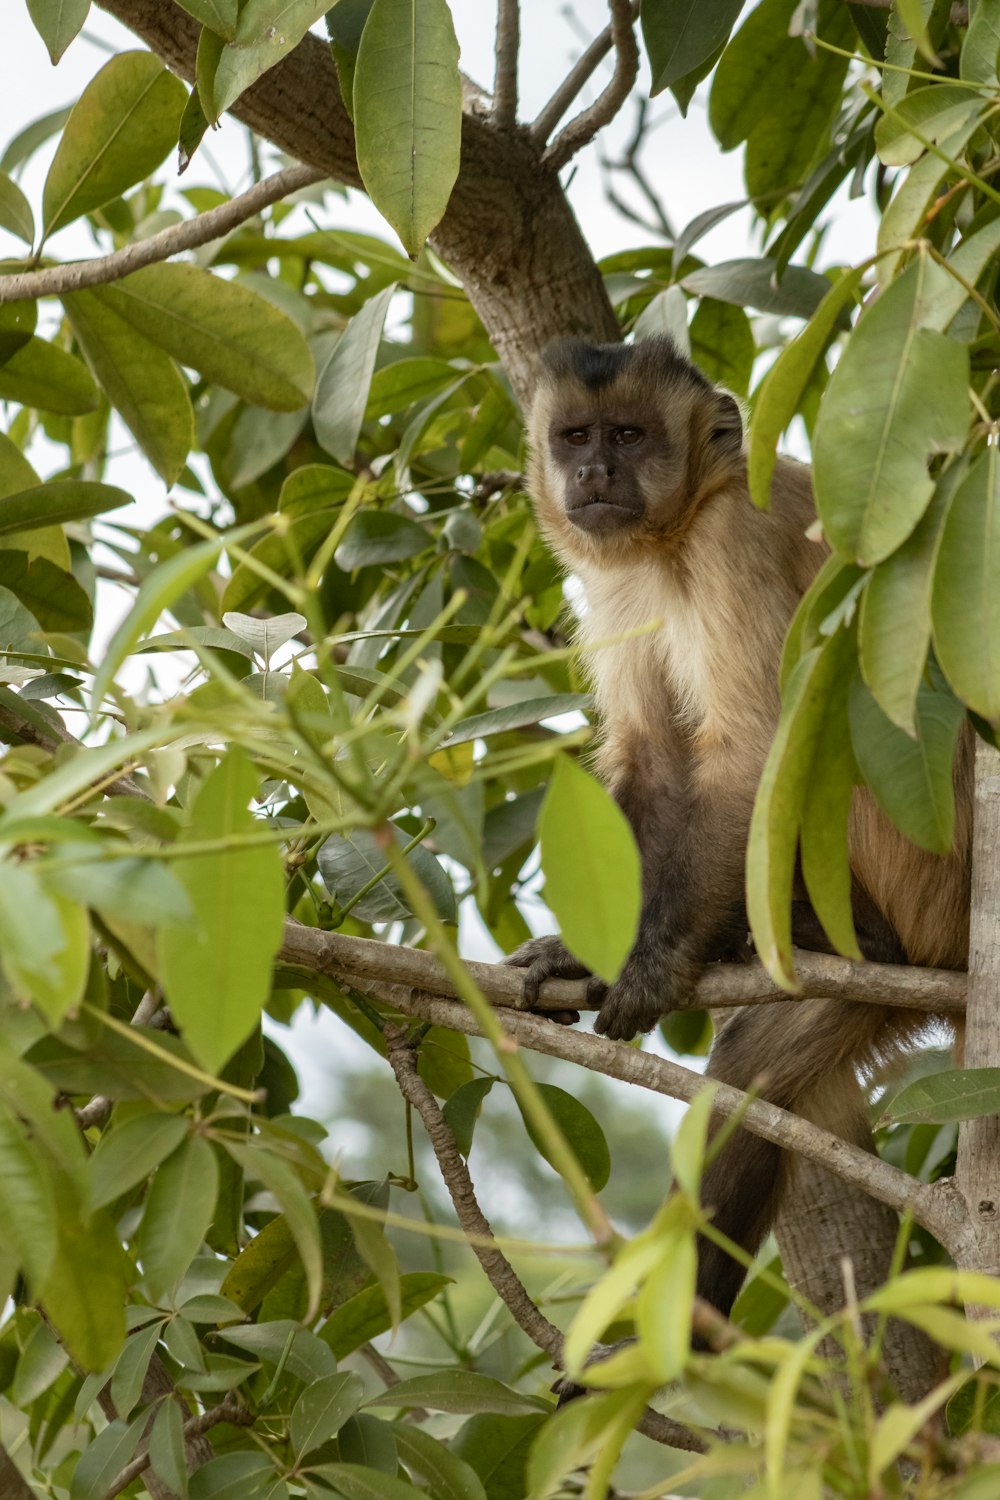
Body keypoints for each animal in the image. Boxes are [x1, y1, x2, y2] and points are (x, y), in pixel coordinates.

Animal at [503, 337, 971, 1326]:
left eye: (629, 435)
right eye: (575, 437)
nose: (594, 474)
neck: (676, 534)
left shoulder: (735, 539)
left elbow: (754, 745)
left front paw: (652, 960)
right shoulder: (615, 583)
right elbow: (652, 758)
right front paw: (582, 951)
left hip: (923, 880)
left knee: (823, 710)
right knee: (753, 1075)